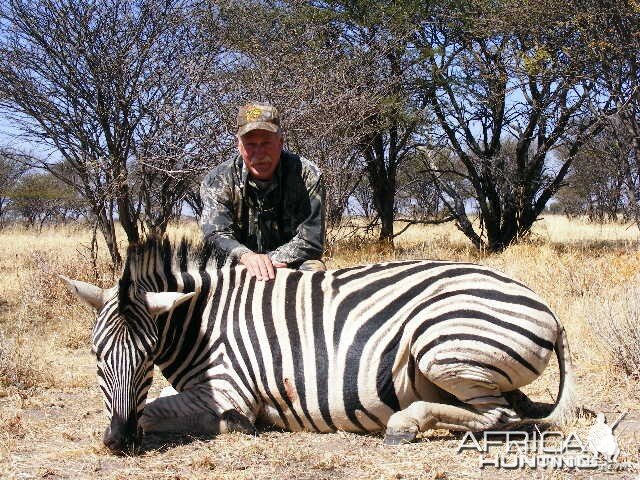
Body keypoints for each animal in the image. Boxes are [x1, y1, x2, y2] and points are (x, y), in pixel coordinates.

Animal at [62, 236, 576, 454]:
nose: (118, 442)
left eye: (147, 358)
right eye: (95, 358)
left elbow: (156, 410)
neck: (201, 323)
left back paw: (406, 424)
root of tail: (549, 312)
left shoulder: (231, 391)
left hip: (441, 345)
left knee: (497, 416)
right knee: (509, 407)